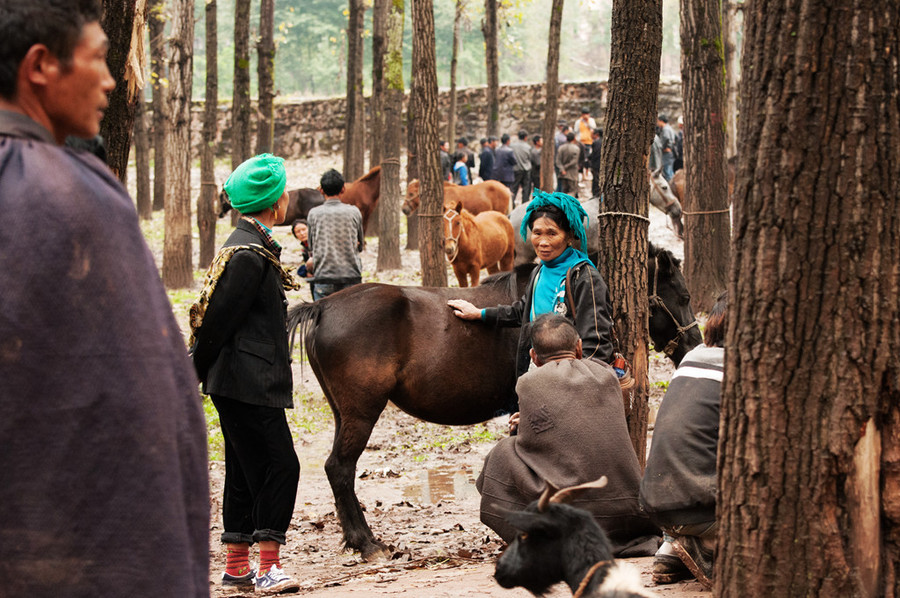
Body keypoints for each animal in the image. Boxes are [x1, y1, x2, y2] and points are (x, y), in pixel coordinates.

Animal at [288, 245, 704, 564]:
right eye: (683, 297)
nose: (692, 347)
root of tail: (322, 308)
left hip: (343, 412)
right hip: (361, 411)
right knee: (340, 469)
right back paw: (366, 542)